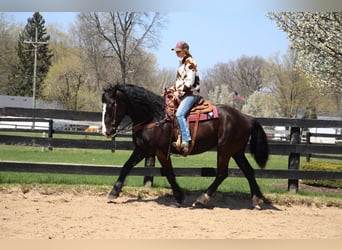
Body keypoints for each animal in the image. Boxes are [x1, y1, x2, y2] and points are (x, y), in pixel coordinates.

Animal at [103, 84, 268, 209]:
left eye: (112, 105)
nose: (107, 131)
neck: (154, 116)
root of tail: (247, 118)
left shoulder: (161, 152)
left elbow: (169, 173)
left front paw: (179, 197)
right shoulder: (142, 150)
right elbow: (126, 166)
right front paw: (113, 192)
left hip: (225, 150)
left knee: (222, 173)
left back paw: (202, 198)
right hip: (236, 151)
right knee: (248, 171)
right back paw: (257, 199)